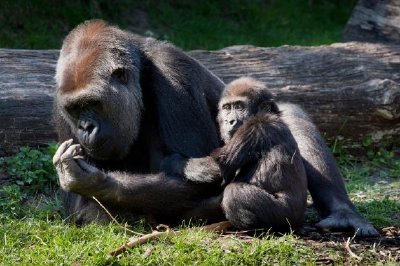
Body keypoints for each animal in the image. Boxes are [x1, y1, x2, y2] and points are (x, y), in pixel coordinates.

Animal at [162, 77, 306, 233]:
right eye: (227, 108)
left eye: (239, 106)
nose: (229, 121)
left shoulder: (256, 126)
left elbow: (220, 164)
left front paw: (171, 162)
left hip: (287, 217)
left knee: (234, 194)